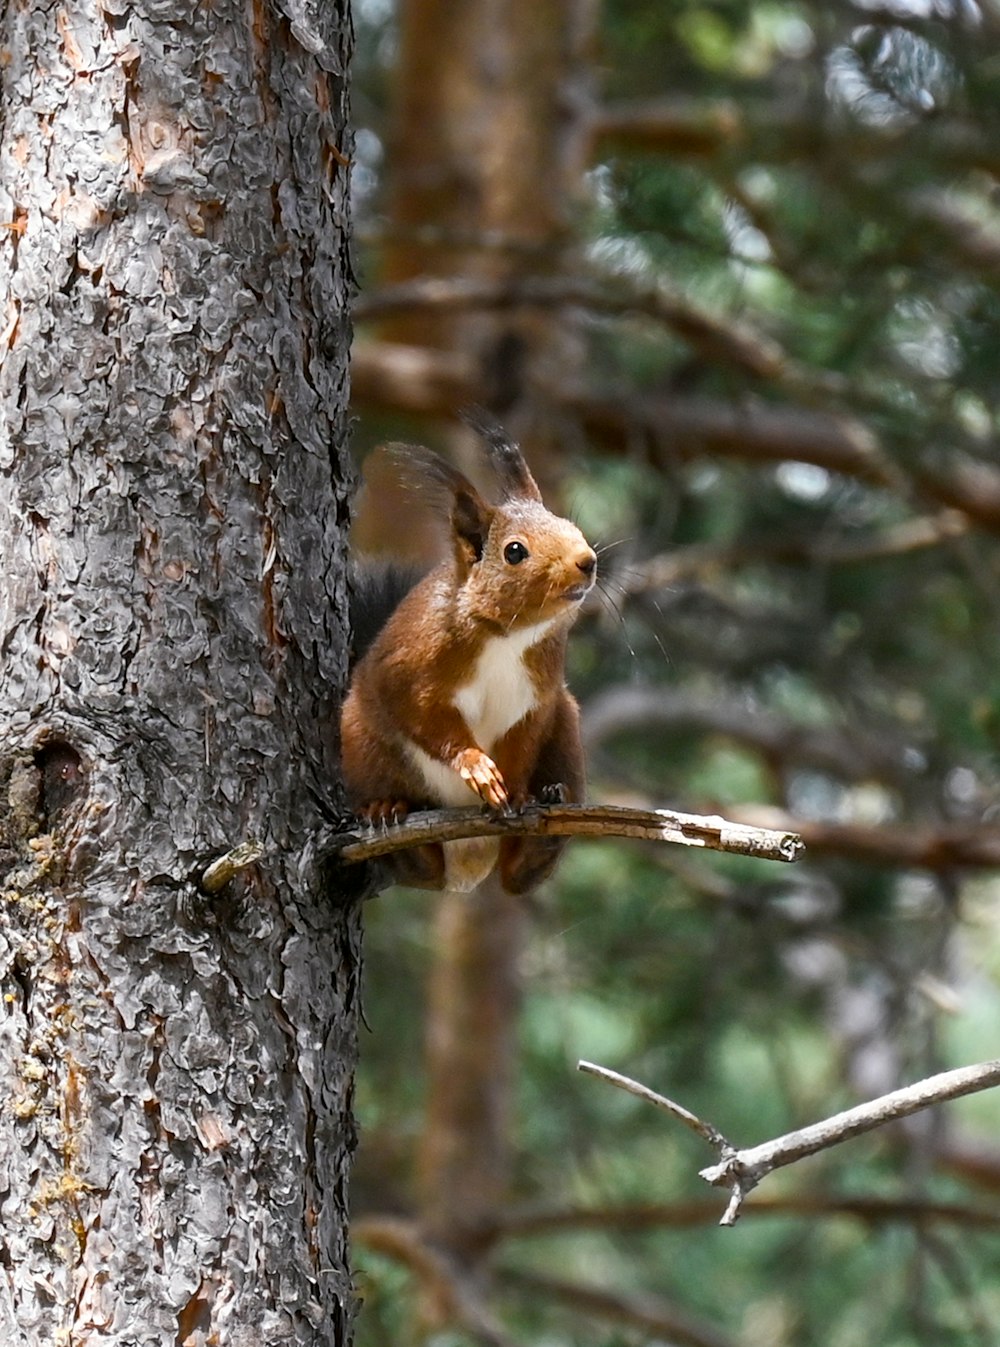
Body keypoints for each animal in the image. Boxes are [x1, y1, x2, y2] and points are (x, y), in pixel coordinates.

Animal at [340, 420, 598, 894]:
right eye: (514, 551)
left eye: (569, 524)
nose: (586, 561)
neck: (508, 635)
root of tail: (469, 862)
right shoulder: (412, 666)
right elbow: (424, 716)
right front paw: (476, 767)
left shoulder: (537, 698)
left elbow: (523, 739)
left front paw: (515, 791)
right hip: (361, 741)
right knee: (422, 871)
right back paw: (387, 815)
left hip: (567, 728)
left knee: (518, 877)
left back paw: (549, 813)